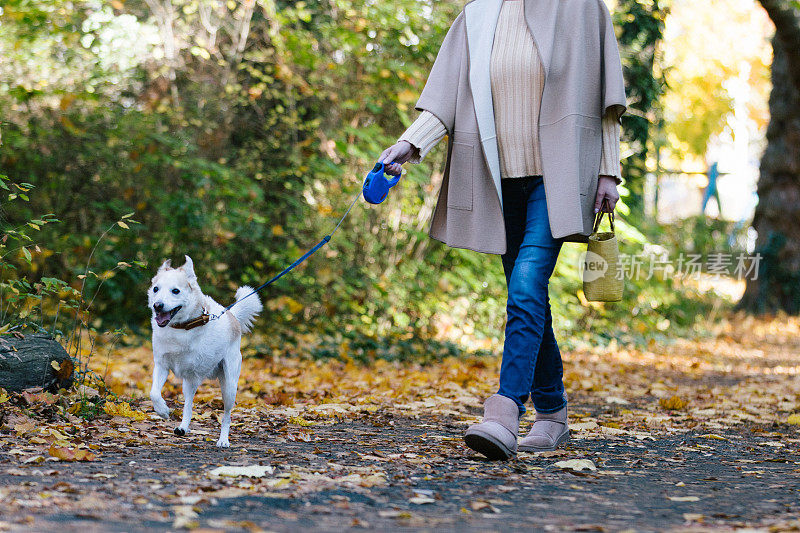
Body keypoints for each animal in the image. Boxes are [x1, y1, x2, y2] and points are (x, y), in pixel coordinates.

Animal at [148, 256, 262, 446]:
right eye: (156, 289)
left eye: (175, 291)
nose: (158, 306)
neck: (180, 327)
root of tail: (232, 316)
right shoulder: (161, 365)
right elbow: (154, 393)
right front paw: (162, 410)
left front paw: (163, 410)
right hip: (189, 383)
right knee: (188, 405)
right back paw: (183, 428)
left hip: (229, 387)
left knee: (227, 416)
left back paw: (223, 440)